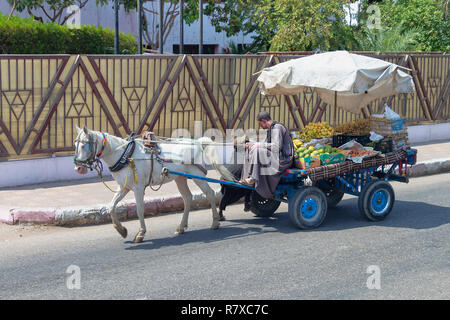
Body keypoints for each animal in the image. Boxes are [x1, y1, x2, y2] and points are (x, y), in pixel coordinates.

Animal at [73, 125, 236, 242]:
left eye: (83, 145)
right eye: (75, 145)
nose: (79, 168)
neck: (124, 155)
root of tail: (197, 142)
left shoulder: (138, 188)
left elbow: (139, 209)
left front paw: (140, 233)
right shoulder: (124, 187)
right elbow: (111, 207)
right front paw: (121, 230)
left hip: (198, 175)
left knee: (209, 193)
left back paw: (215, 222)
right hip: (180, 178)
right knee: (187, 198)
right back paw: (181, 227)